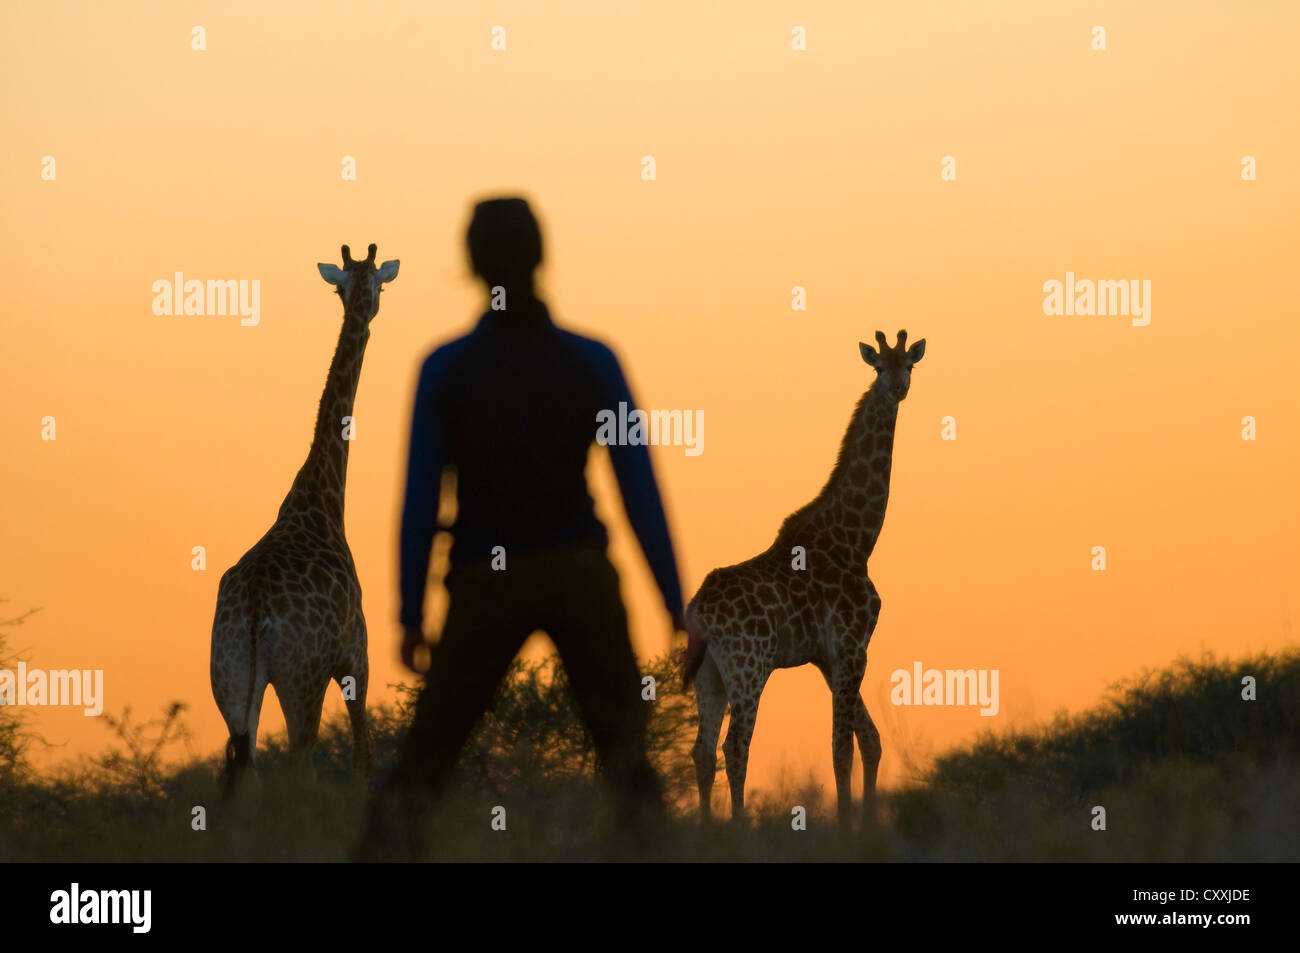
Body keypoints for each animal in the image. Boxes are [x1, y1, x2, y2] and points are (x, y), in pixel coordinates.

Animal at [209, 243, 395, 790]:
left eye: (352, 285)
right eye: (379, 284)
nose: (366, 312)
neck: (324, 498)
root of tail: (254, 613)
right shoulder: (358, 654)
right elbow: (363, 757)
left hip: (230, 680)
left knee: (243, 769)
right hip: (302, 679)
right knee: (300, 765)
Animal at [681, 327, 925, 826]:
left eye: (909, 364)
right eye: (879, 366)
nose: (897, 388)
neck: (857, 537)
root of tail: (700, 612)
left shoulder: (827, 657)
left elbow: (870, 741)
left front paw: (866, 825)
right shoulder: (851, 646)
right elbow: (842, 750)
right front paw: (850, 828)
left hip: (709, 673)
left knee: (701, 751)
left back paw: (707, 831)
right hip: (749, 667)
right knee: (735, 748)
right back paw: (737, 830)